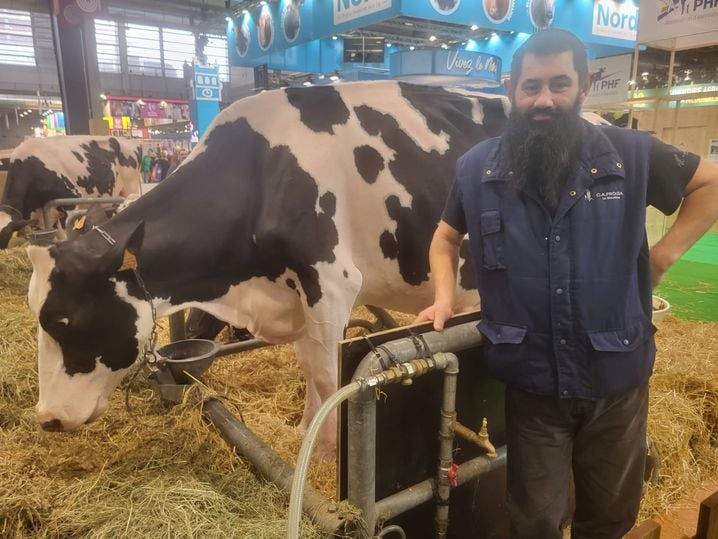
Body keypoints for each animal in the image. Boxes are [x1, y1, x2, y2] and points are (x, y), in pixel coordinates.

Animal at [25, 81, 510, 460]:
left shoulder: (331, 283)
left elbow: (328, 375)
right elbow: (308, 367)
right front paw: (306, 434)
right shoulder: (294, 295)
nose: (46, 418)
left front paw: (330, 453)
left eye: (62, 320)